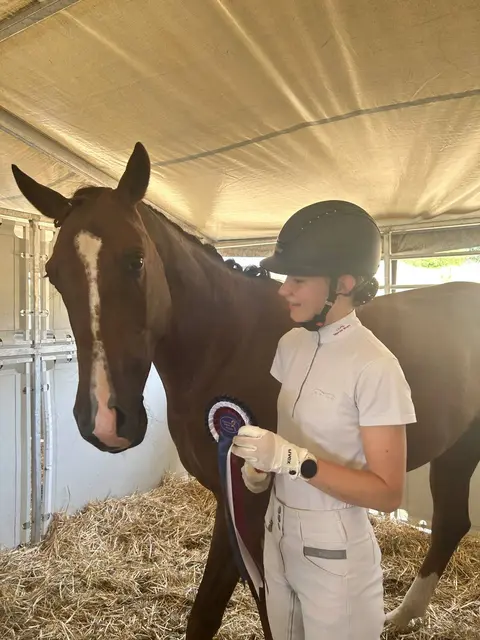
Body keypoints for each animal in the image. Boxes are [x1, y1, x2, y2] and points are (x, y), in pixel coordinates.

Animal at [11, 142, 480, 638]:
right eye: (52, 273)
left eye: (136, 259)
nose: (104, 419)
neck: (227, 342)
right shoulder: (229, 502)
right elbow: (204, 615)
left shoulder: (249, 514)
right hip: (456, 450)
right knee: (451, 523)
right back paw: (403, 616)